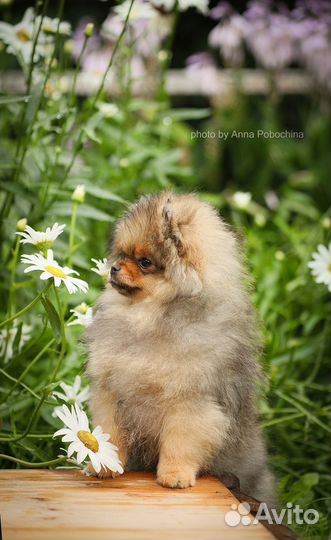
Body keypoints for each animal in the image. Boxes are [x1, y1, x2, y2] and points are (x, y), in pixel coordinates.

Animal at [85, 192, 274, 504]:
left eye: (145, 262)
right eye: (122, 255)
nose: (113, 268)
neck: (151, 317)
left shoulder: (189, 402)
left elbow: (179, 443)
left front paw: (174, 475)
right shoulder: (112, 394)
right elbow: (110, 435)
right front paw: (105, 464)